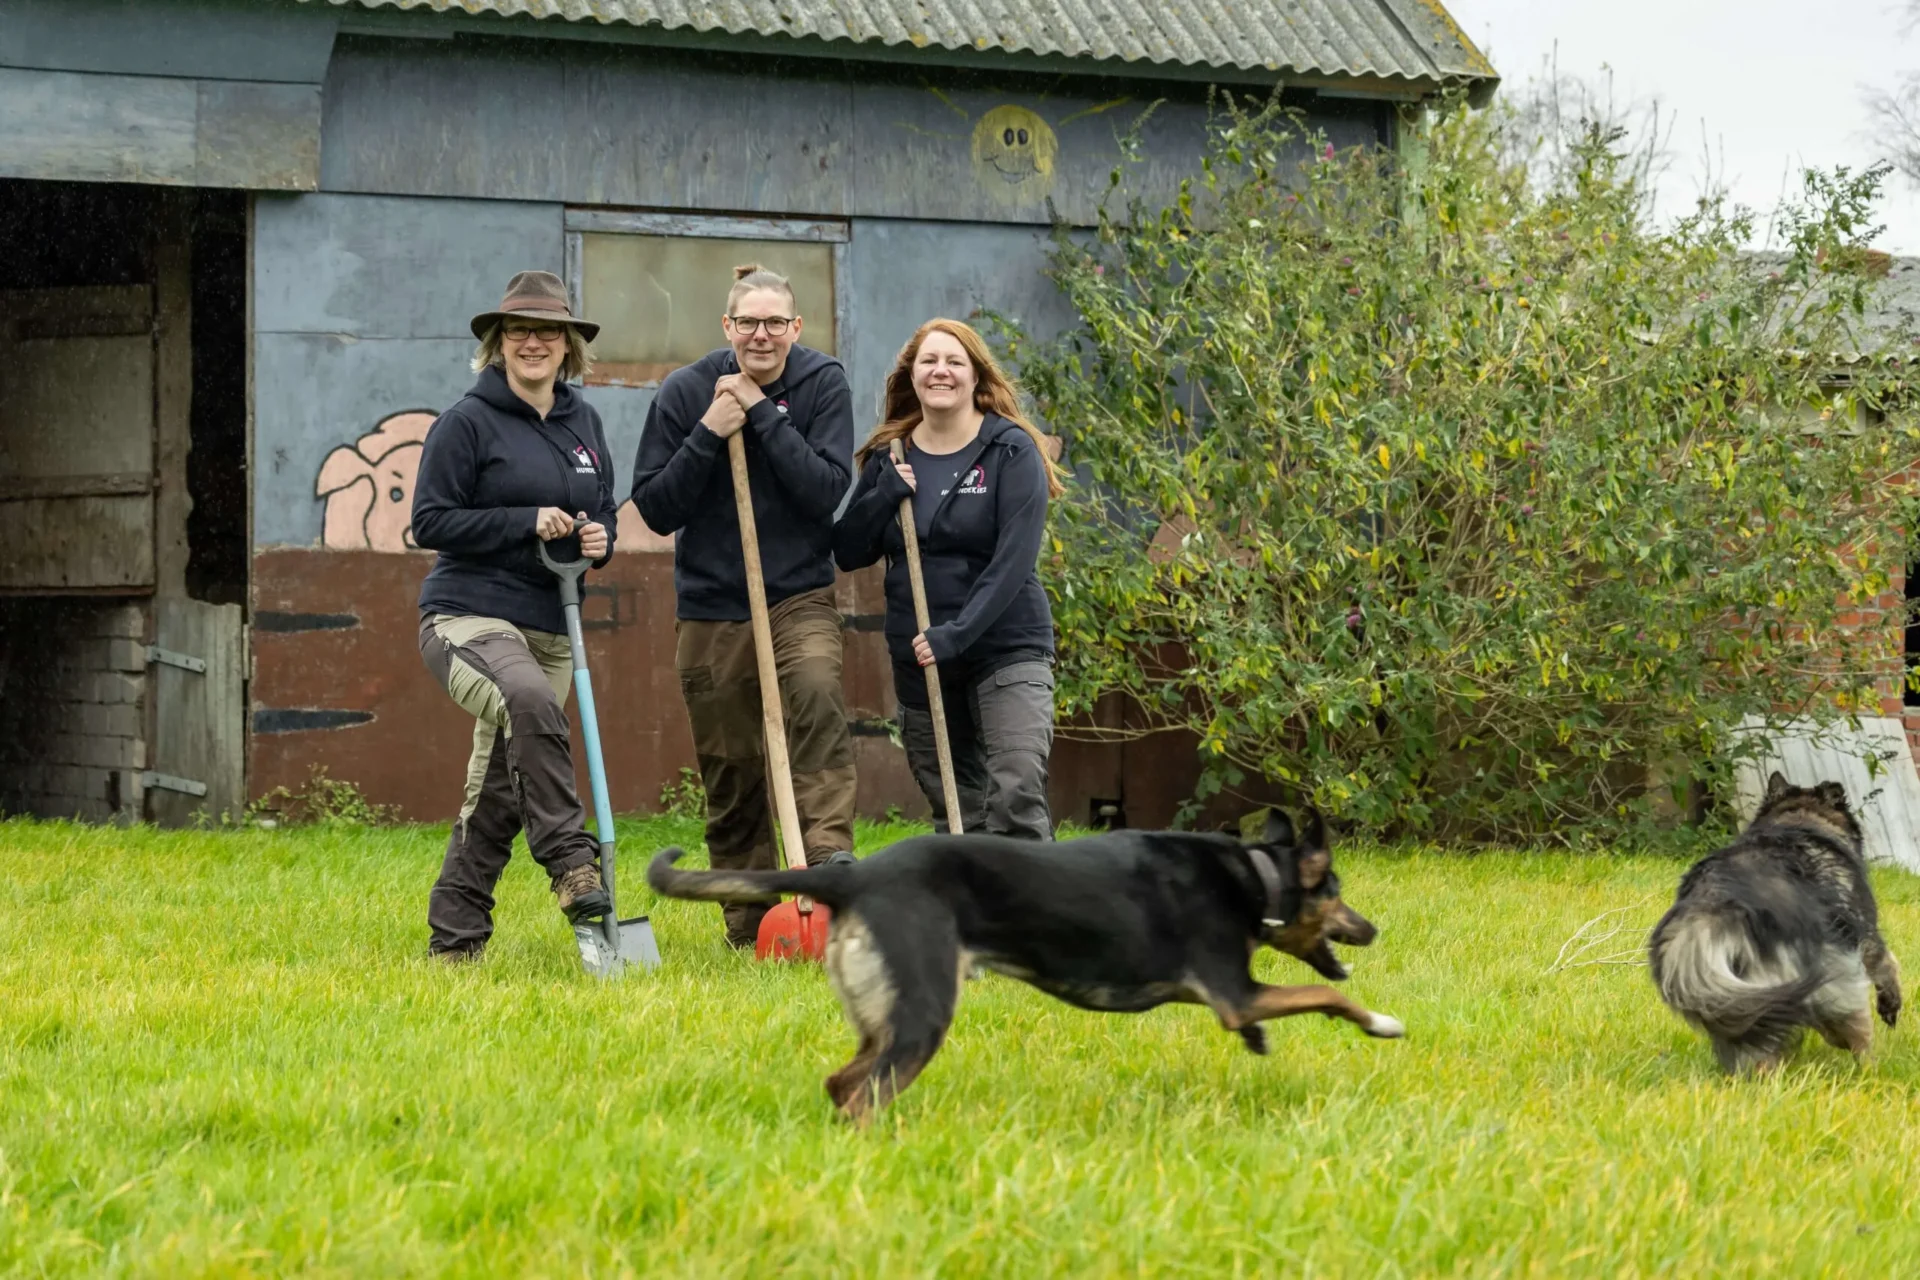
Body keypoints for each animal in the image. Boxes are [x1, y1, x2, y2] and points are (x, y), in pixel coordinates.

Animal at [645, 809, 1397, 1120]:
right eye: (1336, 891)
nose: (1373, 928)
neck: (1256, 876)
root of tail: (852, 879)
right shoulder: (1234, 992)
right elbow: (1326, 997)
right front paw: (1381, 1023)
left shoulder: (1230, 997)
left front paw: (1262, 1042)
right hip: (923, 1014)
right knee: (863, 1094)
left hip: (884, 1015)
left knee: (843, 1085)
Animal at [1651, 775, 1904, 1074]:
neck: (1799, 817)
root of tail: (1714, 906)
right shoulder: (1864, 935)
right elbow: (1888, 964)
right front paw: (1890, 1006)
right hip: (1828, 976)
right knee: (1856, 1035)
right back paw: (1870, 1070)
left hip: (1740, 998)